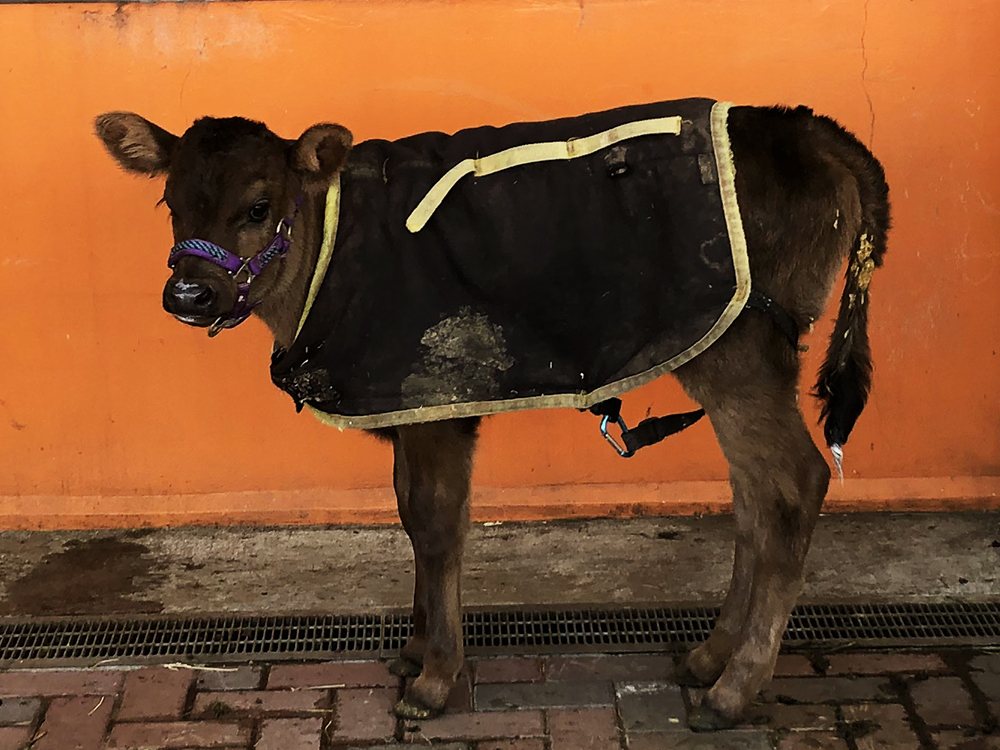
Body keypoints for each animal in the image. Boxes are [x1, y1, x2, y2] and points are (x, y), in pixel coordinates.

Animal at [94, 103, 892, 732]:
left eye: (258, 206)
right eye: (171, 205)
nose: (188, 295)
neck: (330, 251)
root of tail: (808, 129)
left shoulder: (437, 395)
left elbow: (436, 521)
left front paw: (435, 679)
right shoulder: (406, 398)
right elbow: (408, 513)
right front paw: (414, 649)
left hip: (740, 352)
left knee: (793, 485)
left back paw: (732, 691)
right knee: (754, 498)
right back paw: (707, 657)